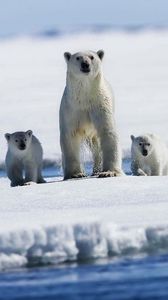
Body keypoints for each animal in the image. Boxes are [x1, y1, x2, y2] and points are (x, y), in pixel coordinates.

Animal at [59, 50, 123, 179]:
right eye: (78, 58)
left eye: (92, 57)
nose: (85, 64)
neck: (85, 97)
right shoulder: (71, 110)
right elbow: (69, 136)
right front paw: (76, 174)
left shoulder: (100, 105)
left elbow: (107, 132)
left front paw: (109, 172)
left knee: (97, 147)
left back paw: (97, 170)